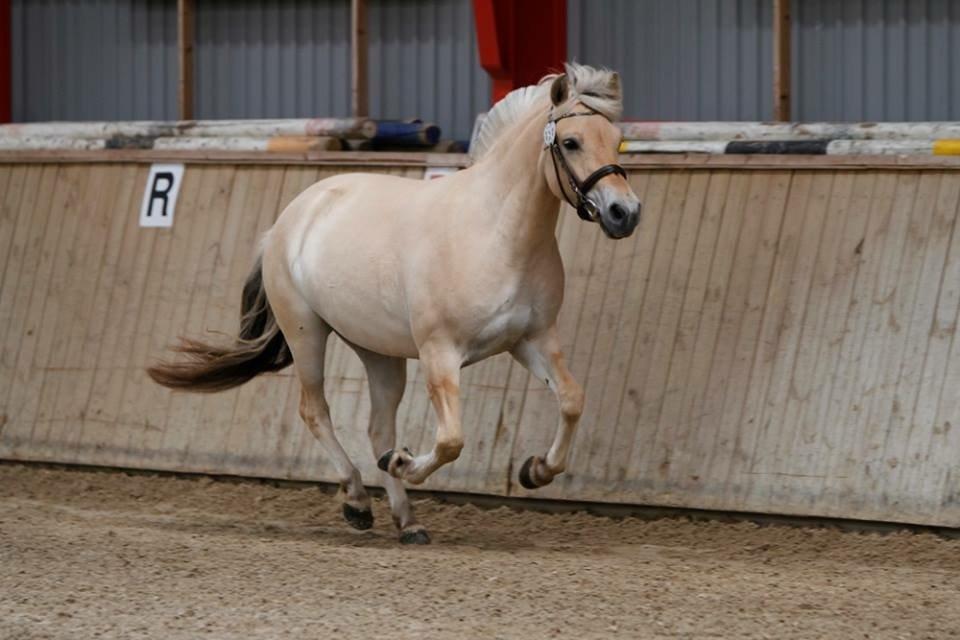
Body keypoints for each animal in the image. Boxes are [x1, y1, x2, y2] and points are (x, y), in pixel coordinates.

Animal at [150, 65, 640, 544]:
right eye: (571, 142)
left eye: (616, 139)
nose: (625, 213)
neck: (494, 233)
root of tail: (287, 221)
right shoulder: (439, 353)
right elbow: (451, 440)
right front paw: (404, 463)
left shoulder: (532, 339)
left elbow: (572, 400)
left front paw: (534, 470)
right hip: (306, 333)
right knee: (316, 412)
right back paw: (357, 500)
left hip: (379, 352)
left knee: (377, 429)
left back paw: (408, 521)